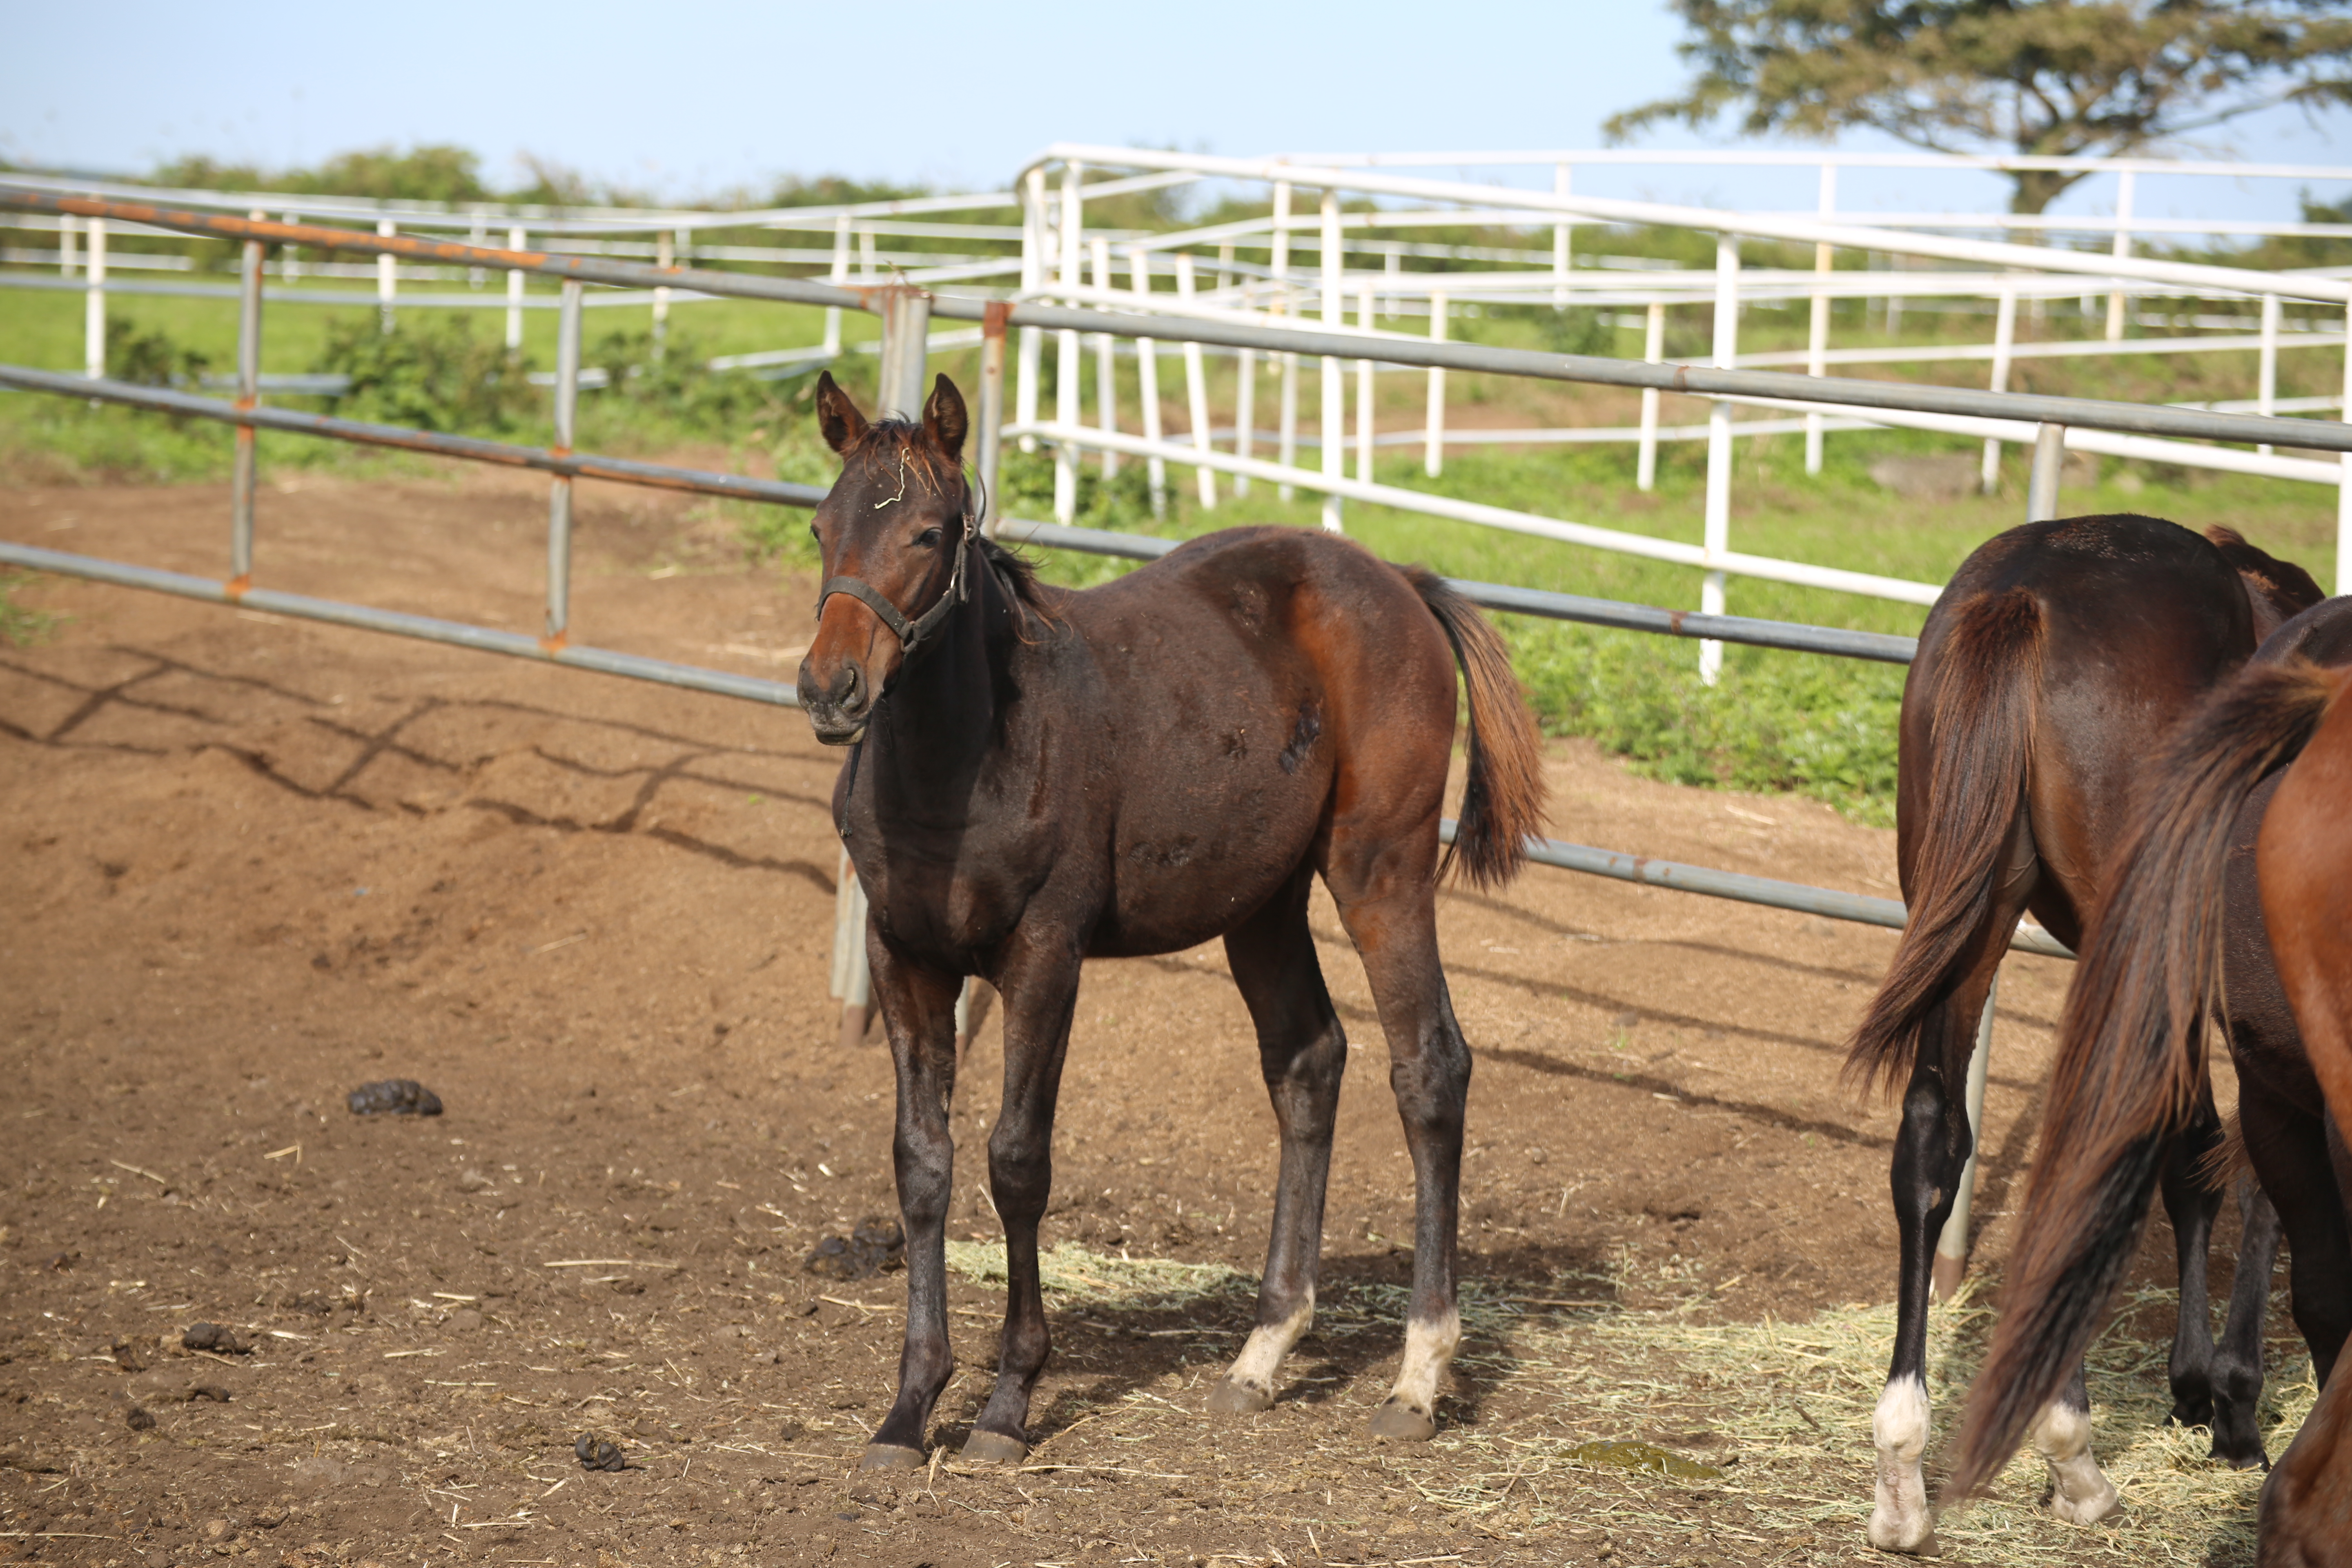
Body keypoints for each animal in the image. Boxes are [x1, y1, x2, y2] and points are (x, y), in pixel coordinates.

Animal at [800, 374, 1552, 1476]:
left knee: (1429, 1068)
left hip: (1380, 869)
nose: (829, 689)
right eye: (822, 526)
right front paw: (909, 1408)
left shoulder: (1044, 957)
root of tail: (1400, 581)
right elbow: (922, 1164)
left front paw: (1006, 1403)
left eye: (929, 533)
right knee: (1307, 1061)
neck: (963, 759)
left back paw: (1417, 1375)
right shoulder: (905, 958)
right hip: (1262, 902)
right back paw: (1262, 1353)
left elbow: (1017, 1160)